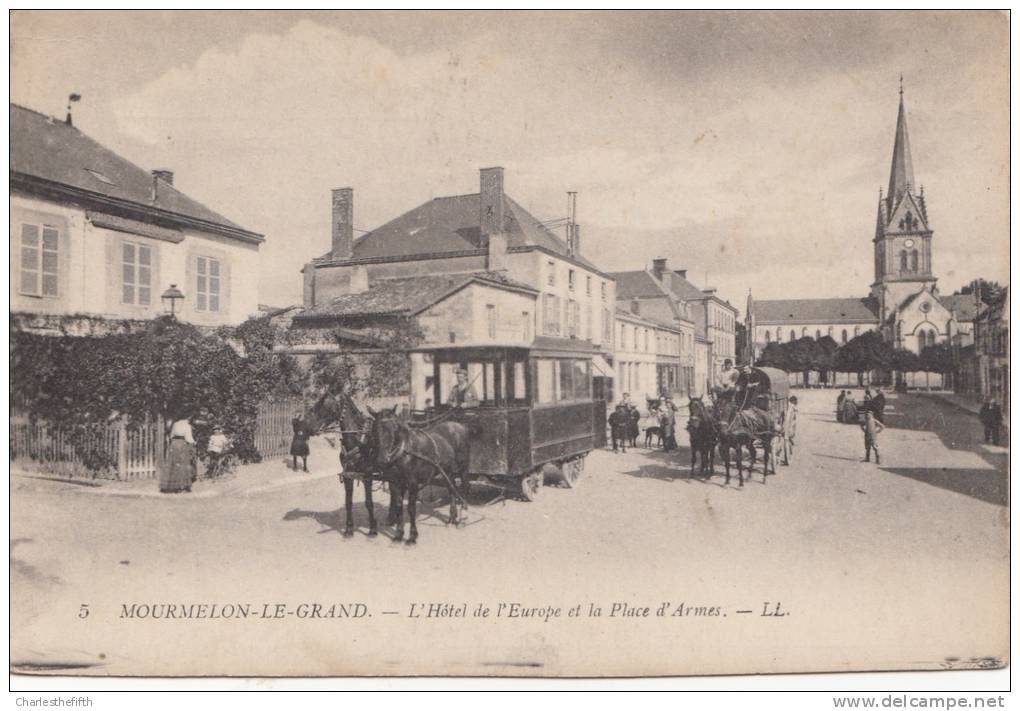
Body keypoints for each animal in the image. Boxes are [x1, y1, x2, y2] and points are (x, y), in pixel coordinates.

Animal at [367, 403, 473, 542]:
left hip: (463, 465)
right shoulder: (395, 482)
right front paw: (399, 534)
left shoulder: (413, 483)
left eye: (394, 428)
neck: (404, 451)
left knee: (464, 486)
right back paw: (452, 518)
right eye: (374, 428)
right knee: (452, 488)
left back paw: (461, 516)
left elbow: (411, 508)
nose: (382, 459)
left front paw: (412, 536)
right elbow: (399, 506)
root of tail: (460, 425)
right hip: (447, 470)